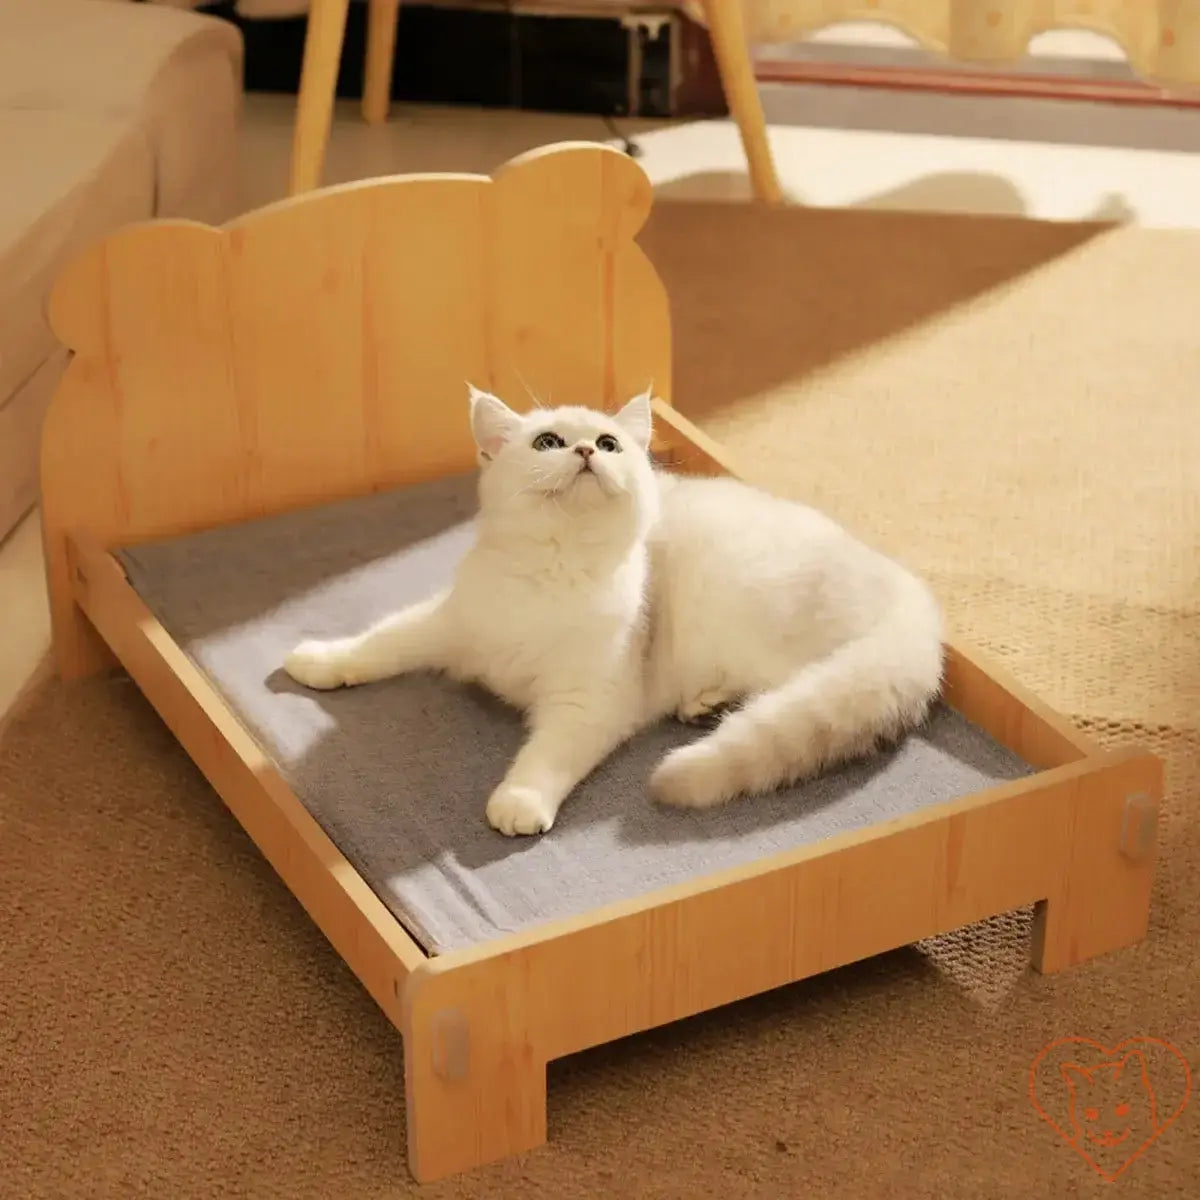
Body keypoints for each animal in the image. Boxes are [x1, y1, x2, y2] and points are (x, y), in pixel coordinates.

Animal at [285, 388, 940, 840]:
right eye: (547, 442)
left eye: (608, 445)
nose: (583, 452)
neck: (552, 571)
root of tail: (918, 600)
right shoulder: (451, 622)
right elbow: (380, 642)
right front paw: (317, 661)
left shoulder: (590, 701)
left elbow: (547, 756)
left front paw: (520, 802)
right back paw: (704, 703)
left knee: (787, 695)